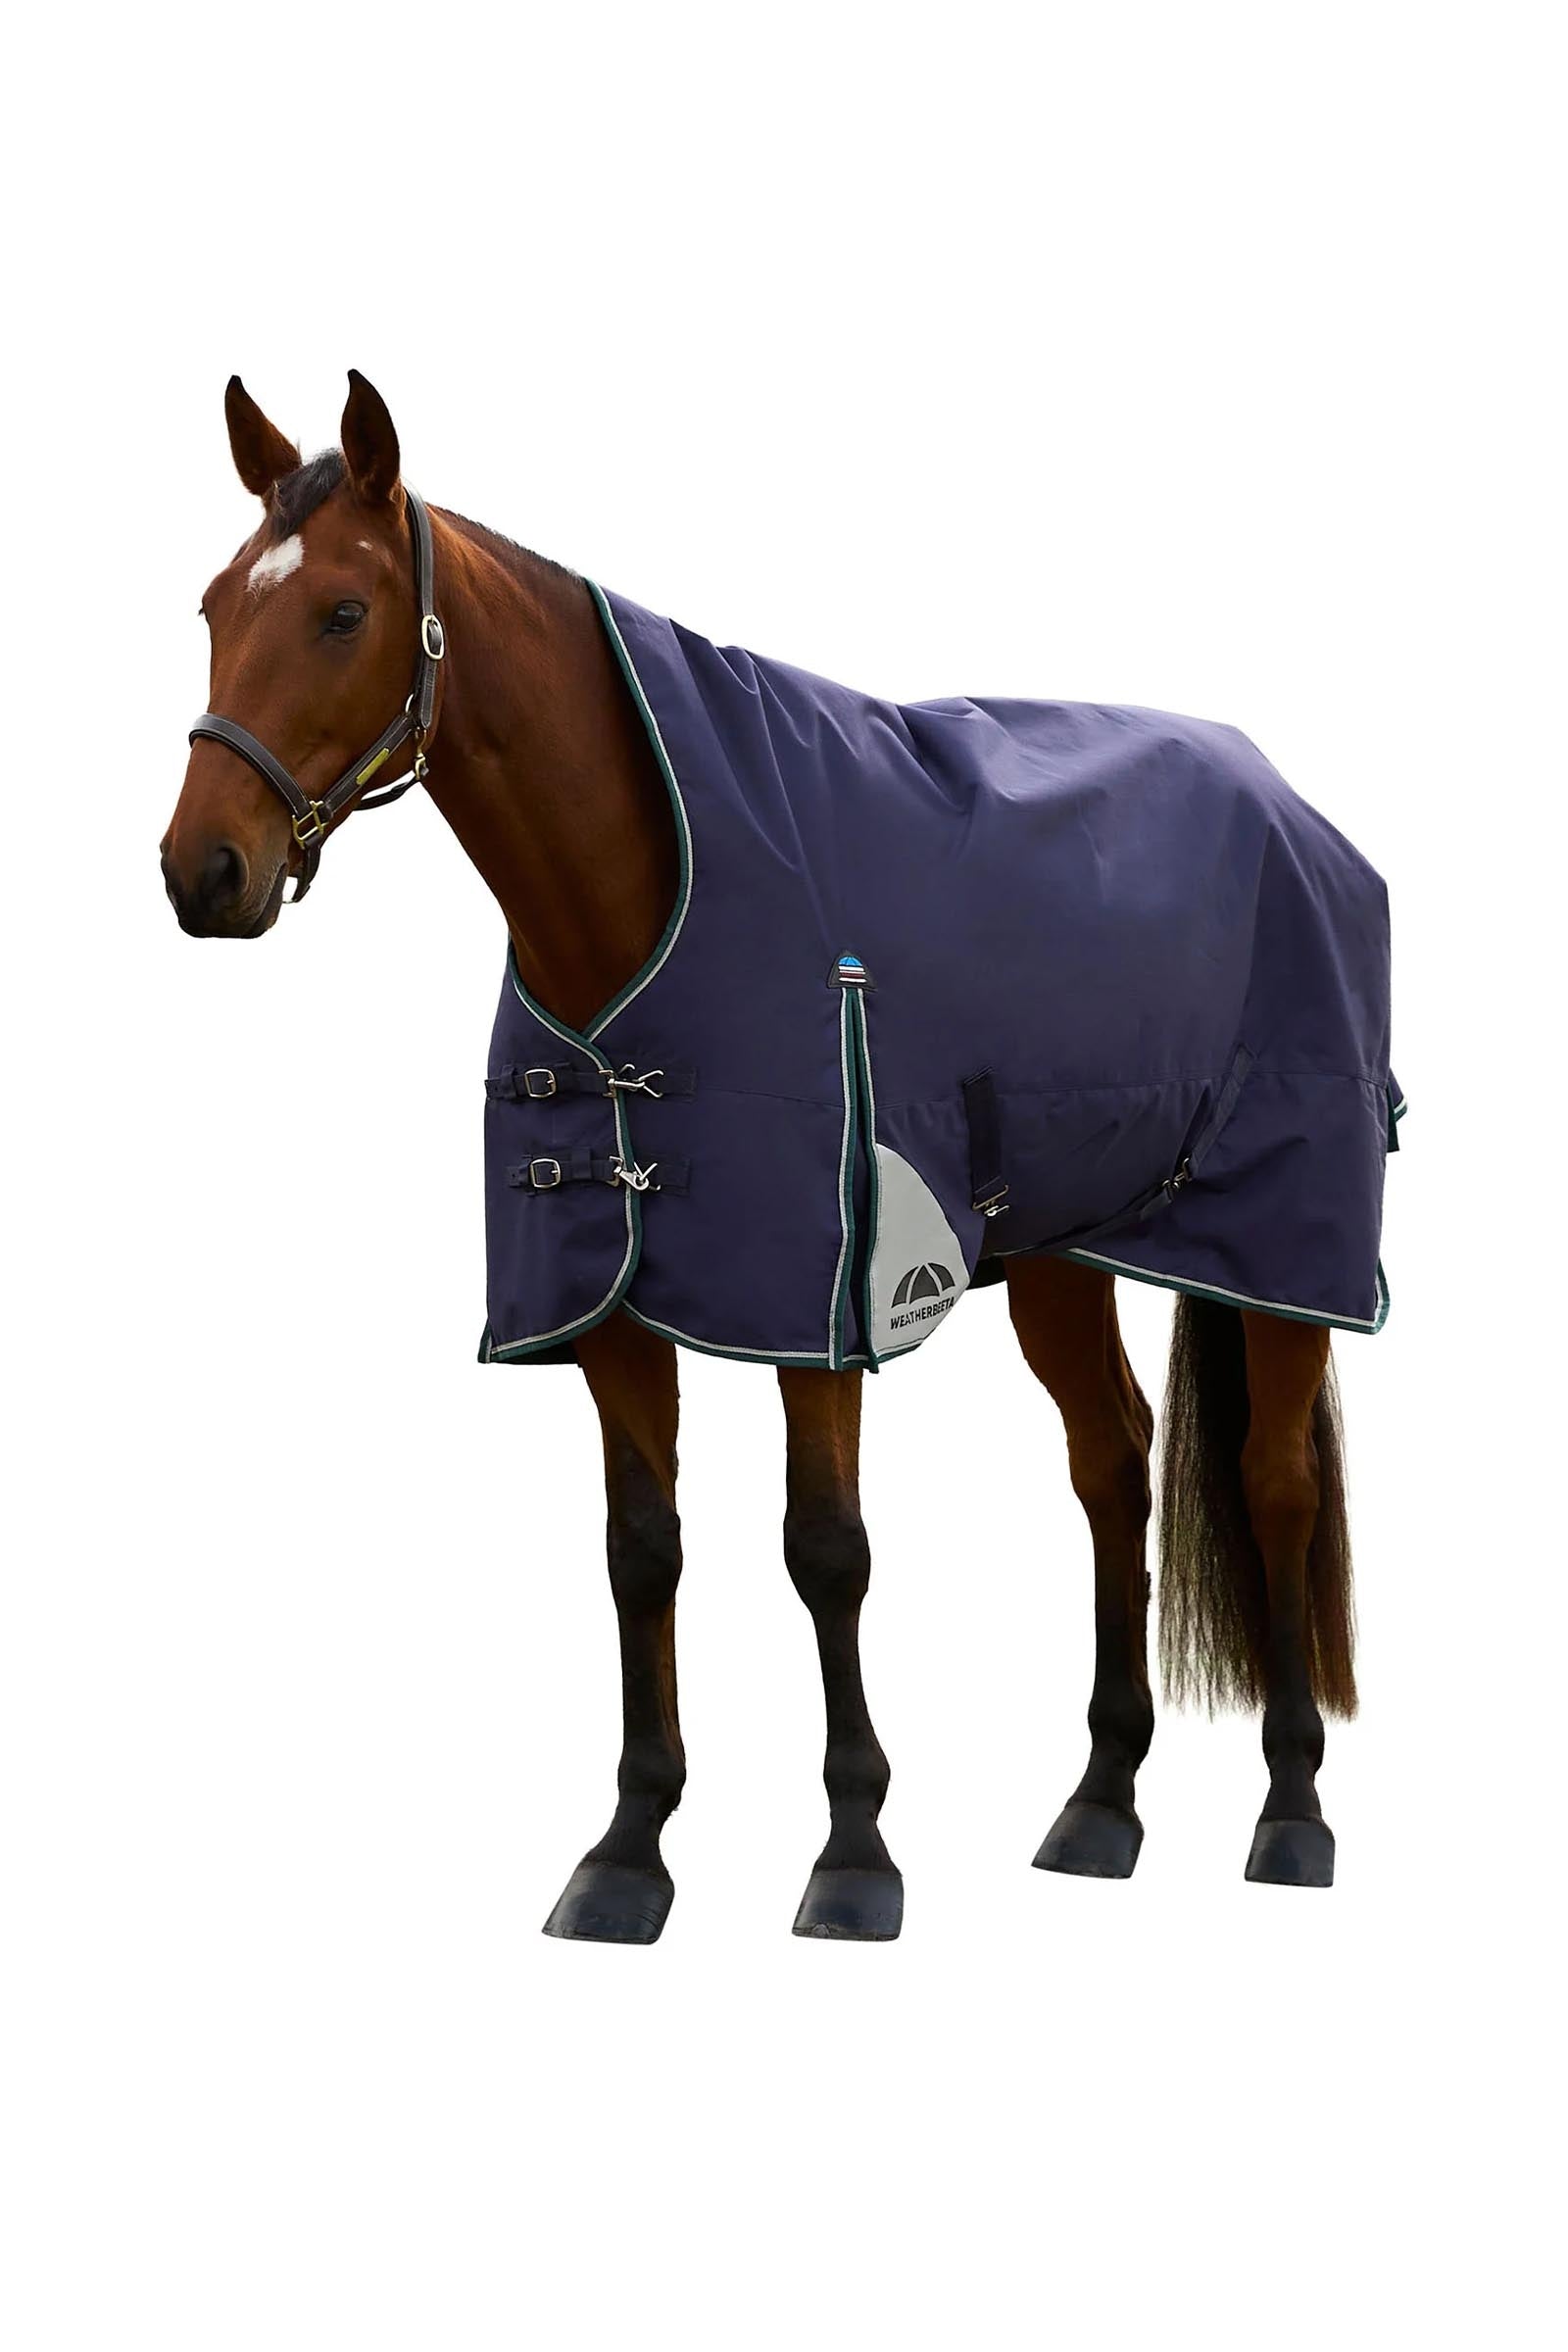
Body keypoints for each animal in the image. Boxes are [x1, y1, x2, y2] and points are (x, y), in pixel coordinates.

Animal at [162, 371, 1376, 1941]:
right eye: (210, 606)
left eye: (344, 613)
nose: (202, 872)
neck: (651, 892)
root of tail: (1286, 801)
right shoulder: (611, 1309)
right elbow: (640, 1552)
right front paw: (627, 1852)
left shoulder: (823, 1299)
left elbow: (826, 1551)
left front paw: (854, 1856)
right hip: (1061, 1251)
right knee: (1114, 1464)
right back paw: (1100, 1807)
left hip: (1285, 1241)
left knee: (1275, 1482)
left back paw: (1293, 1815)